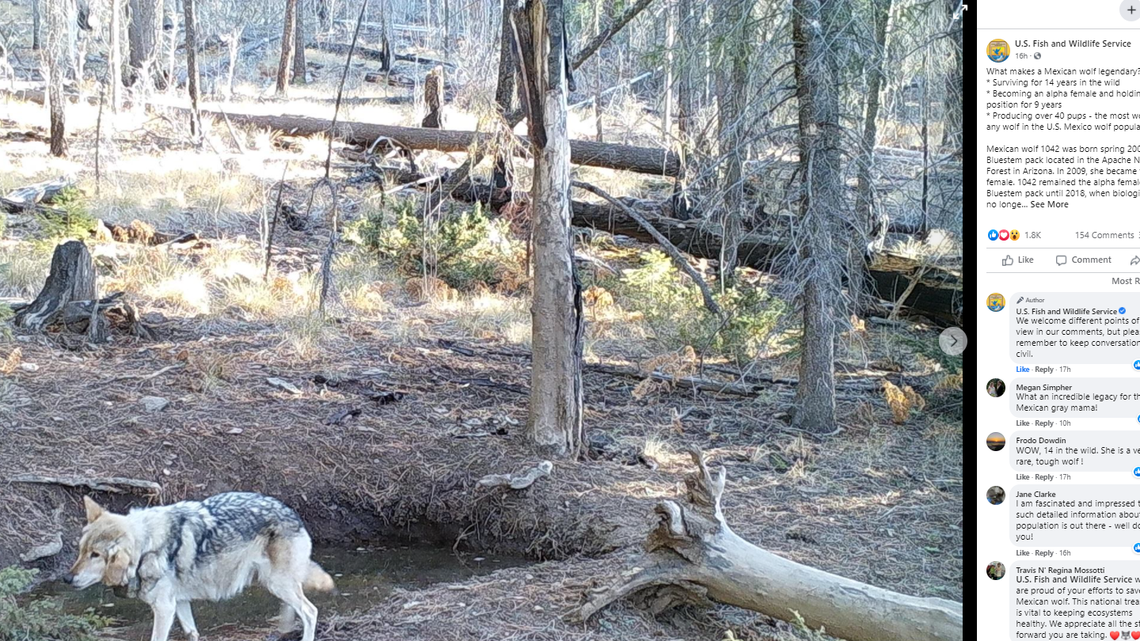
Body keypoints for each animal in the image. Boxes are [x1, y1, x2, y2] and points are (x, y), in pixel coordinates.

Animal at [69, 492, 334, 641]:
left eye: (96, 555)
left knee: (310, 612)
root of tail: (294, 513)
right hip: (278, 585)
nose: (67, 579)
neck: (147, 546)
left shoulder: (164, 608)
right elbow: (192, 633)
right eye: (81, 551)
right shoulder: (179, 603)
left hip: (277, 584)